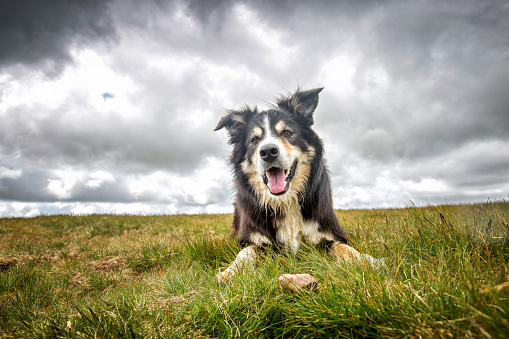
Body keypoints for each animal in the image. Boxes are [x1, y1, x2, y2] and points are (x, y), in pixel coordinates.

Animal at [212, 87, 376, 282]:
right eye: (254, 139)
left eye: (287, 133)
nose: (268, 152)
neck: (285, 200)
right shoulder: (252, 239)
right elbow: (246, 252)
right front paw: (231, 271)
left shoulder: (328, 232)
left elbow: (343, 247)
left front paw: (366, 260)